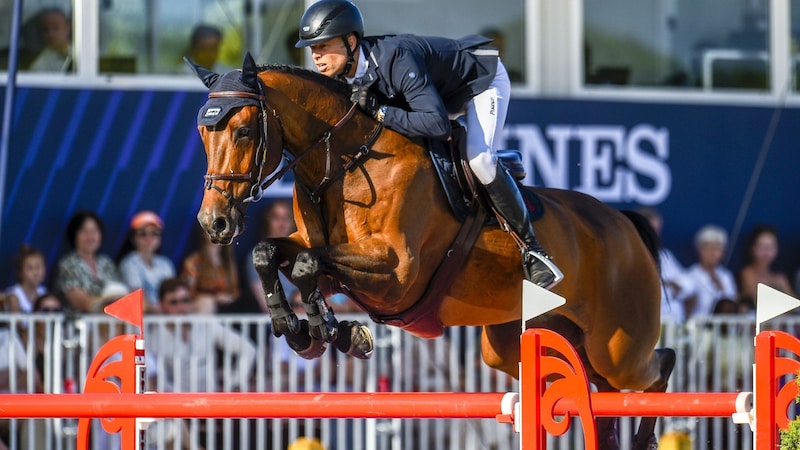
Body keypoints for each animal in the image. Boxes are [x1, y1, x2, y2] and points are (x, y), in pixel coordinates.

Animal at [191, 54, 672, 448]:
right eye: (202, 134)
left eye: (244, 130)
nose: (214, 223)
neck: (344, 162)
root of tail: (623, 223)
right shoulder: (326, 255)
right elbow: (271, 254)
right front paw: (304, 330)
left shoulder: (397, 274)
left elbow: (308, 265)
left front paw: (330, 331)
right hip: (517, 343)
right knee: (599, 390)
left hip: (618, 345)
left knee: (655, 367)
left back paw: (647, 435)